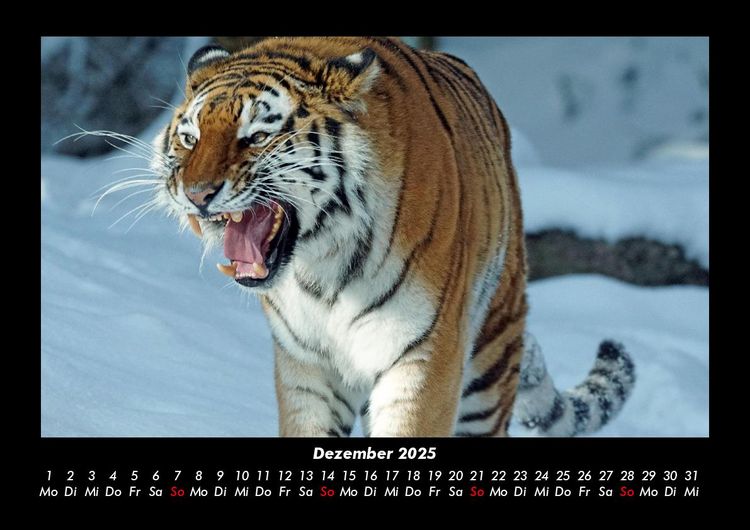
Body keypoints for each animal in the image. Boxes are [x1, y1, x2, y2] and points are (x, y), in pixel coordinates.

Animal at [150, 36, 635, 437]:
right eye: (190, 138)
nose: (196, 194)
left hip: (491, 361)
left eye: (256, 136)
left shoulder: (423, 357)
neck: (321, 265)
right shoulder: (306, 366)